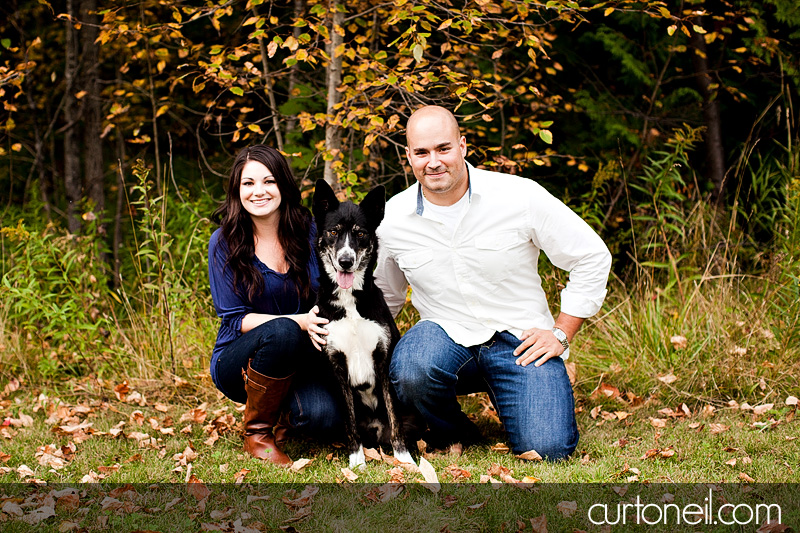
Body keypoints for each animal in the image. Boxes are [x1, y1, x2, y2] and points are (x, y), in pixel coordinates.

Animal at [310, 179, 416, 466]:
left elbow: (395, 416)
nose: (346, 261)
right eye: (333, 232)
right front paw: (356, 460)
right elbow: (350, 421)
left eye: (360, 234)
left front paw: (405, 460)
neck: (349, 300)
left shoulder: (383, 359)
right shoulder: (336, 365)